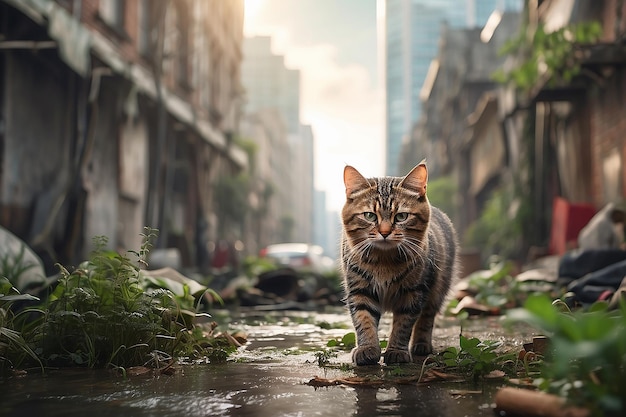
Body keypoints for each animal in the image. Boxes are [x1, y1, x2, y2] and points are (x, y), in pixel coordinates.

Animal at [338, 160, 456, 364]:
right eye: (369, 215)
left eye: (401, 216)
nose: (385, 232)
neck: (383, 261)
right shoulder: (360, 290)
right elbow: (364, 320)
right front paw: (367, 348)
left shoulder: (413, 293)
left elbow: (403, 325)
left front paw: (396, 350)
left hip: (437, 289)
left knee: (426, 318)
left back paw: (421, 344)